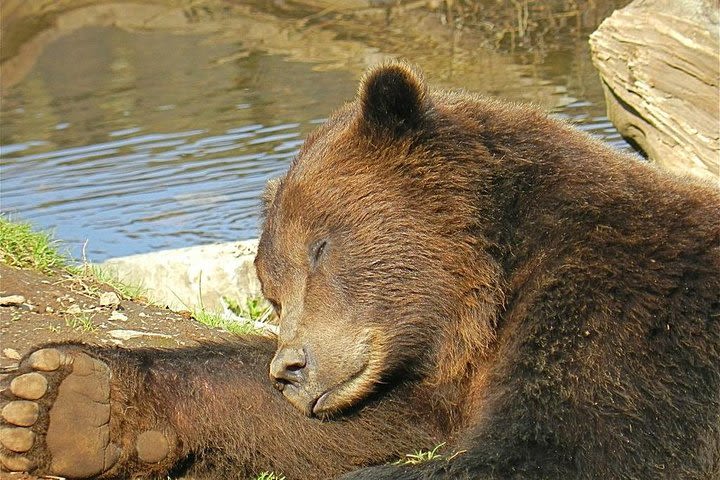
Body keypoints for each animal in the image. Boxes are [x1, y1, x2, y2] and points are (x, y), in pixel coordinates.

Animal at [1, 63, 720, 480]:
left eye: (320, 248)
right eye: (271, 291)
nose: (290, 368)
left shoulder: (626, 312)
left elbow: (564, 448)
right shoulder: (434, 378)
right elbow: (384, 418)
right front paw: (61, 402)